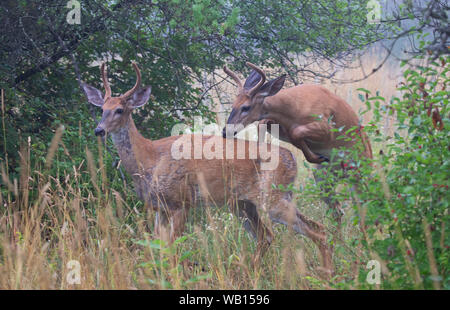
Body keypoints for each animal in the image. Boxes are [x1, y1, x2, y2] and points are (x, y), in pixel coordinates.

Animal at [81, 61, 334, 272]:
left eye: (120, 110)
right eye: (102, 108)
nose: (98, 130)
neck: (149, 159)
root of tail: (292, 160)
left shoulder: (182, 202)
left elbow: (172, 250)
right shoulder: (159, 208)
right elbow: (158, 248)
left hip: (270, 198)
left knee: (316, 232)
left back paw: (326, 274)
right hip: (247, 203)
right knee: (273, 235)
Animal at [221, 62, 372, 228]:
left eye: (246, 107)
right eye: (233, 104)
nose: (225, 131)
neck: (292, 110)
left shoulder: (326, 127)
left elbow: (296, 132)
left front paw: (316, 156)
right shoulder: (272, 123)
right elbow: (268, 128)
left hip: (359, 172)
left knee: (364, 207)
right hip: (323, 177)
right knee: (339, 210)